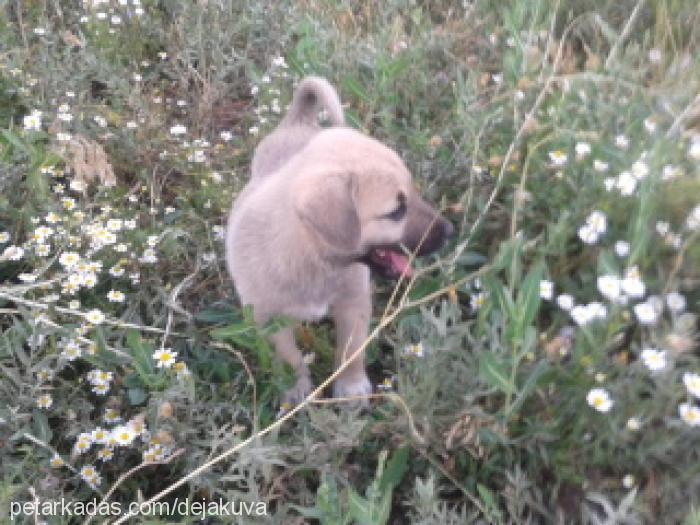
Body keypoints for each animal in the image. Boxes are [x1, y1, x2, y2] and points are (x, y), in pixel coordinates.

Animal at [226, 77, 454, 406]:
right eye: (396, 211)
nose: (450, 231)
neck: (313, 258)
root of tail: (298, 121)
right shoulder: (269, 319)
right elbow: (289, 356)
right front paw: (296, 388)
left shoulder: (353, 303)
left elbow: (350, 350)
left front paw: (350, 386)